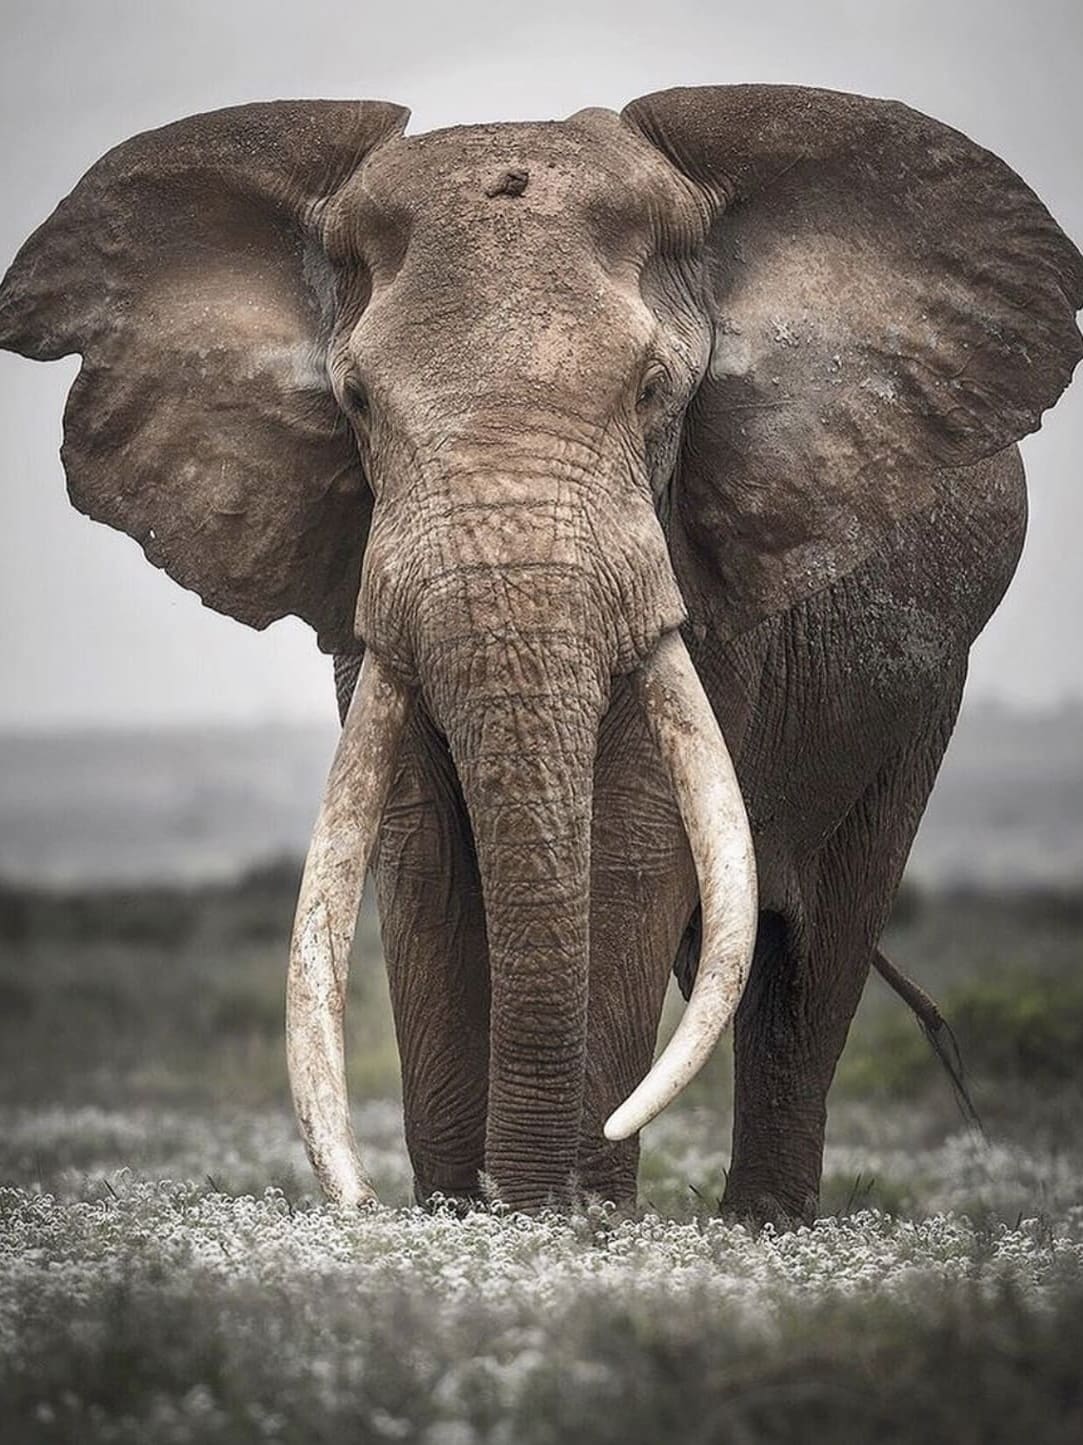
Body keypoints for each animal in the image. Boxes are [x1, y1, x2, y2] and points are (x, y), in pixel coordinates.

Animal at [1, 85, 1080, 1225]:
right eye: (357, 402)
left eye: (655, 391)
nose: (515, 1202)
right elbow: (422, 847)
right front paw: (458, 1218)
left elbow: (634, 842)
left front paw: (578, 1221)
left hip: (921, 693)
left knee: (811, 965)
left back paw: (762, 1227)